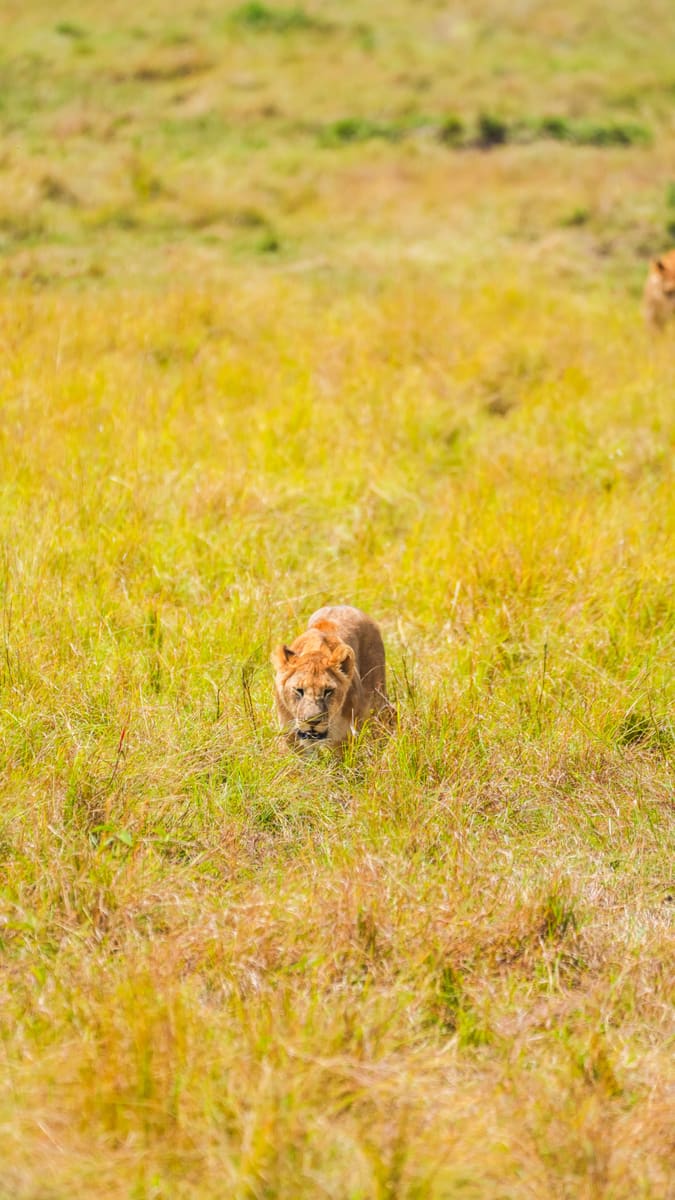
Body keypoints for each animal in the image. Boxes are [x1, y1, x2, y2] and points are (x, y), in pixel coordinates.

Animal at [271, 605, 387, 752]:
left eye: (328, 691)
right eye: (299, 690)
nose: (312, 721)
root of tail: (342, 606)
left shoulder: (344, 737)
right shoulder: (289, 734)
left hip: (377, 701)